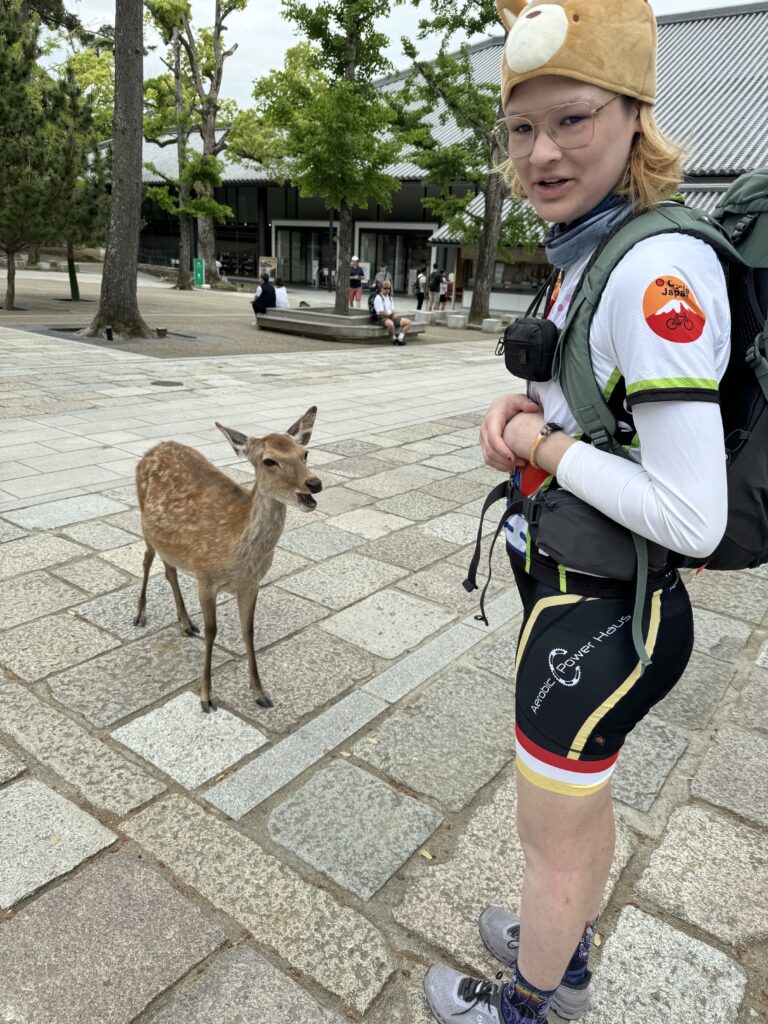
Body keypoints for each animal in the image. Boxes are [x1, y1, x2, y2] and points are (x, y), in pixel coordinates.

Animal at [135, 407, 321, 712]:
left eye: (304, 453)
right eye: (269, 460)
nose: (314, 483)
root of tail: (154, 448)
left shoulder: (251, 584)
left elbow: (249, 631)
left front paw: (259, 692)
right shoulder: (205, 577)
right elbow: (213, 631)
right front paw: (206, 696)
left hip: (168, 541)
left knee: (169, 569)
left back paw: (186, 623)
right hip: (143, 522)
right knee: (147, 559)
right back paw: (140, 614)